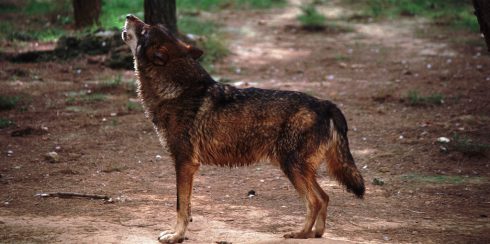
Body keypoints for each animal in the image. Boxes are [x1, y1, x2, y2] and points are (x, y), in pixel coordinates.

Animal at [122, 14, 364, 243]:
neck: (177, 90)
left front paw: (176, 237)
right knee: (324, 197)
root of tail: (325, 103)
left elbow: (181, 206)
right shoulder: (187, 165)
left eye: (144, 30)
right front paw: (177, 234)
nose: (128, 15)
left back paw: (300, 234)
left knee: (314, 201)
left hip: (292, 168)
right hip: (298, 169)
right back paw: (316, 233)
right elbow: (186, 206)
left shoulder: (185, 163)